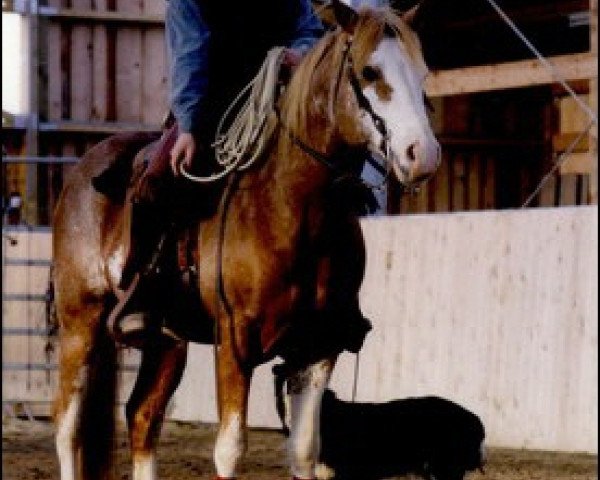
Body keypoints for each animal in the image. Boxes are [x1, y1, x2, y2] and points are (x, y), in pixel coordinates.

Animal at [51, 1, 440, 478]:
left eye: (422, 73)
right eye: (369, 71)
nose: (422, 154)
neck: (291, 206)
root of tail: (81, 171)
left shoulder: (319, 346)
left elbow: (305, 449)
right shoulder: (236, 342)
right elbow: (230, 448)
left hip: (167, 343)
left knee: (142, 416)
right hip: (79, 323)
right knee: (68, 428)